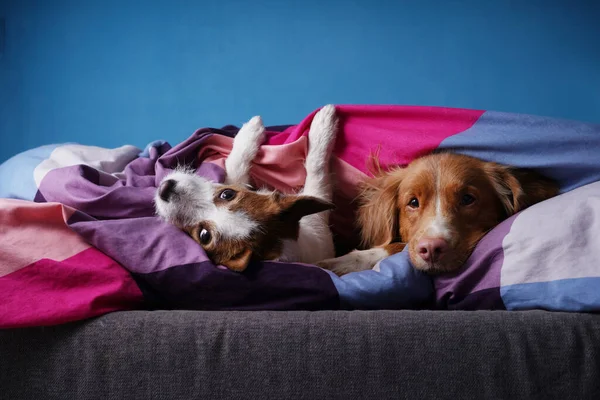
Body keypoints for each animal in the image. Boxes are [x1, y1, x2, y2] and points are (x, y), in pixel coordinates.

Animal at [154, 104, 338, 272]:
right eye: (227, 194)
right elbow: (234, 170)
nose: (165, 188)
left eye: (204, 235)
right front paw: (252, 131)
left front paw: (323, 126)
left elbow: (316, 169)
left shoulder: (319, 215)